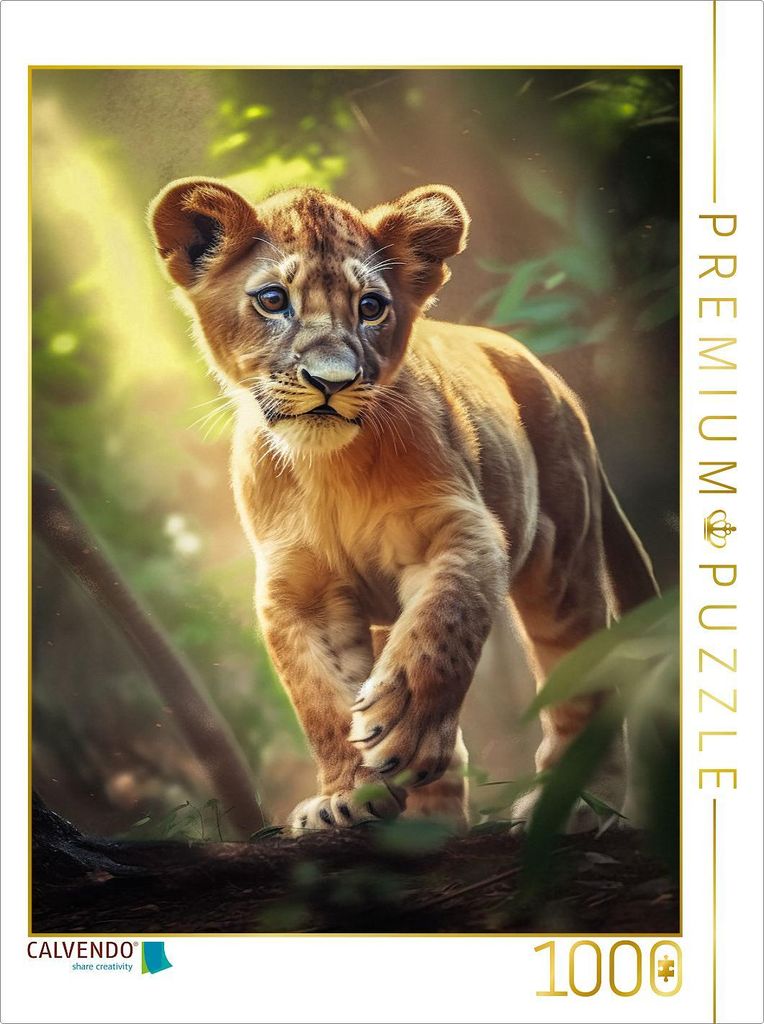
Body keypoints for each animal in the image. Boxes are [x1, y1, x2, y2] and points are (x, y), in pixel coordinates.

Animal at [149, 177, 658, 834]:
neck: (326, 469)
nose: (332, 381)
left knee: (583, 678)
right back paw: (429, 823)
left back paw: (574, 806)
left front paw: (403, 730)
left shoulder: (463, 529)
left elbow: (442, 625)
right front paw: (348, 795)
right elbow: (318, 696)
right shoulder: (297, 586)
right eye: (272, 300)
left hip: (564, 563)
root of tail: (557, 382)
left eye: (371, 307)